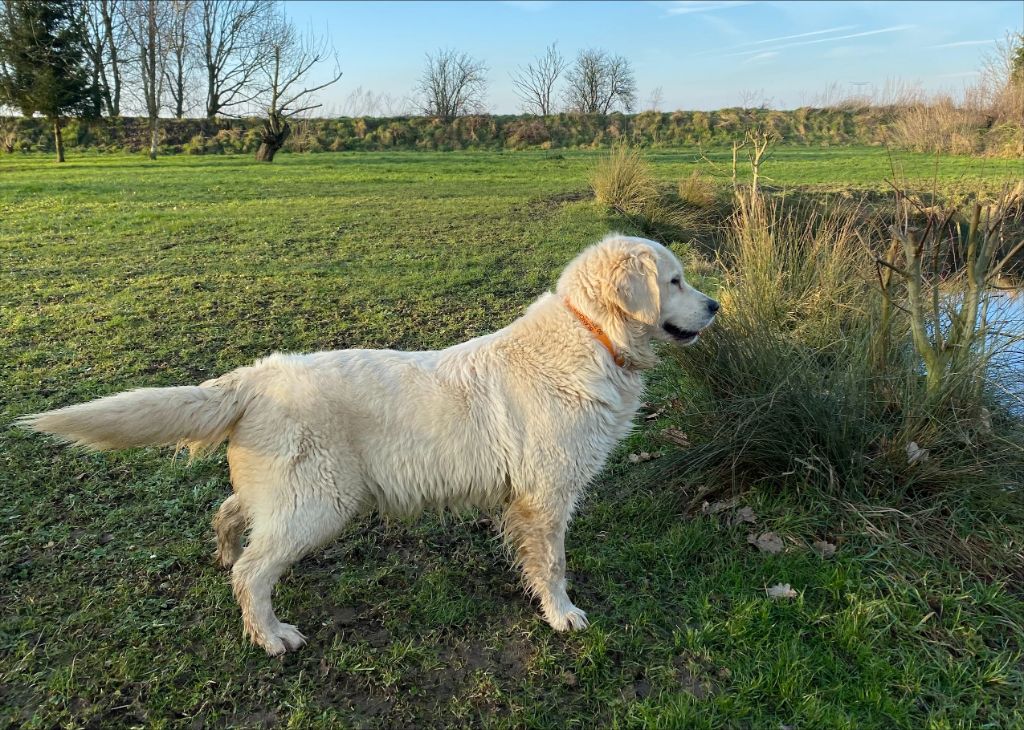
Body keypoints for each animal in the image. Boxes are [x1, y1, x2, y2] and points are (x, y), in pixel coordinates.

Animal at [19, 234, 716, 655]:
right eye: (676, 280)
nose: (715, 306)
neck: (591, 336)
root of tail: (253, 377)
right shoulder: (545, 499)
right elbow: (554, 565)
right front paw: (562, 614)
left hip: (288, 492)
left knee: (229, 514)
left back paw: (224, 555)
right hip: (319, 502)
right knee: (253, 572)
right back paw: (270, 635)